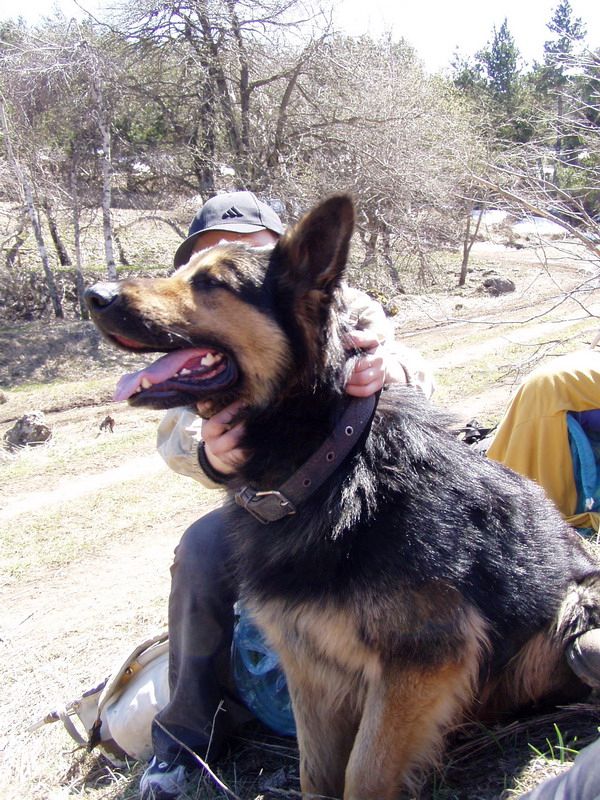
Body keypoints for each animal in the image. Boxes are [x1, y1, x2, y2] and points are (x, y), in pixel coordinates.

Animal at [86, 195, 600, 798]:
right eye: (182, 271)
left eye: (212, 282)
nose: (92, 295)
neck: (332, 467)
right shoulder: (309, 664)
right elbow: (318, 771)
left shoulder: (419, 664)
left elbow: (364, 772)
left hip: (581, 619)